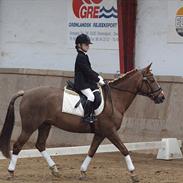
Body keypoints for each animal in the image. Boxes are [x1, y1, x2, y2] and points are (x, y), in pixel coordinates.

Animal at [0, 64, 165, 182]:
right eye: (151, 80)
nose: (162, 97)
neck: (115, 99)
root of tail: (26, 93)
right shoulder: (110, 131)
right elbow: (124, 149)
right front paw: (133, 174)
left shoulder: (100, 133)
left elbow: (91, 151)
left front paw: (83, 172)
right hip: (30, 126)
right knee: (18, 146)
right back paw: (11, 172)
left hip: (45, 125)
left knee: (40, 145)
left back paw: (55, 170)